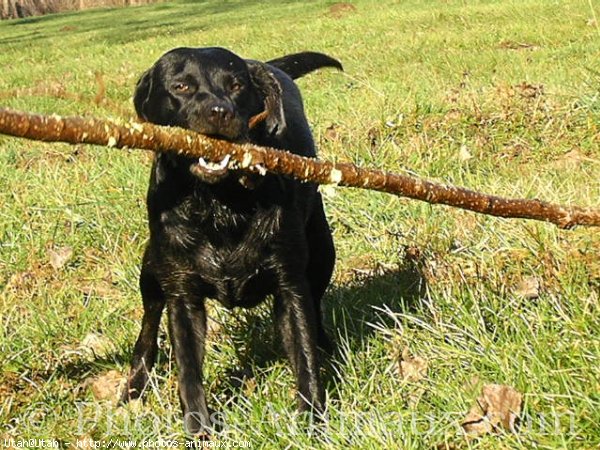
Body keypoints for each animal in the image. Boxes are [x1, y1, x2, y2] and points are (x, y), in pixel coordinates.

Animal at [120, 47, 342, 434]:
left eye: (236, 85)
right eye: (180, 86)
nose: (219, 111)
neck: (218, 205)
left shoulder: (290, 286)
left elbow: (304, 353)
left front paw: (312, 418)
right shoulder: (182, 296)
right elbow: (188, 370)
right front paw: (198, 427)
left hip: (322, 252)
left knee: (316, 305)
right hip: (151, 270)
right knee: (148, 326)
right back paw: (136, 383)